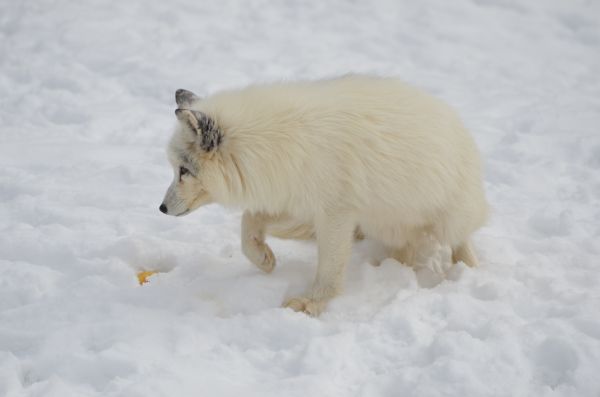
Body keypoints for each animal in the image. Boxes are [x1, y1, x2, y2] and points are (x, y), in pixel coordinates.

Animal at [159, 75, 488, 316]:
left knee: (461, 241)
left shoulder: (335, 212)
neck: (276, 142)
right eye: (175, 168)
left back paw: (467, 269)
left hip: (447, 219)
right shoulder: (296, 202)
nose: (161, 208)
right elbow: (248, 222)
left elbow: (329, 270)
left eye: (183, 171)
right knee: (404, 251)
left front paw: (311, 303)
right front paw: (263, 259)